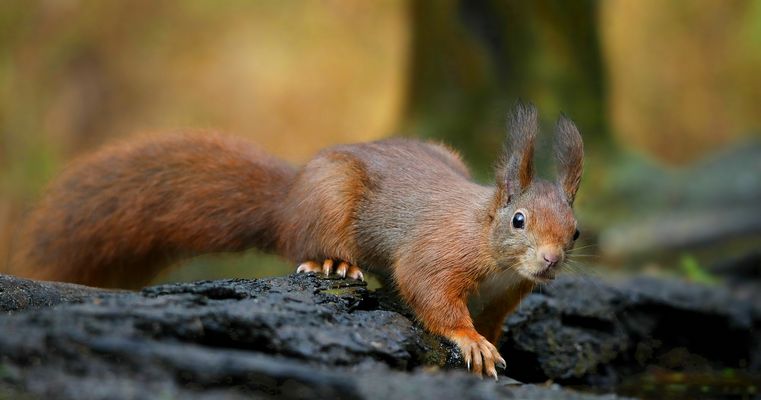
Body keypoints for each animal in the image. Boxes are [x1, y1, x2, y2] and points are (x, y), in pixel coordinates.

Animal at [13, 103, 584, 379]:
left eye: (575, 230)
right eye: (518, 220)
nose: (552, 260)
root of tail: (288, 201)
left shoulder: (506, 295)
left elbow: (491, 319)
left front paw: (493, 341)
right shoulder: (439, 253)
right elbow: (428, 291)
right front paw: (470, 341)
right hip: (326, 204)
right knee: (308, 244)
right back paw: (334, 264)